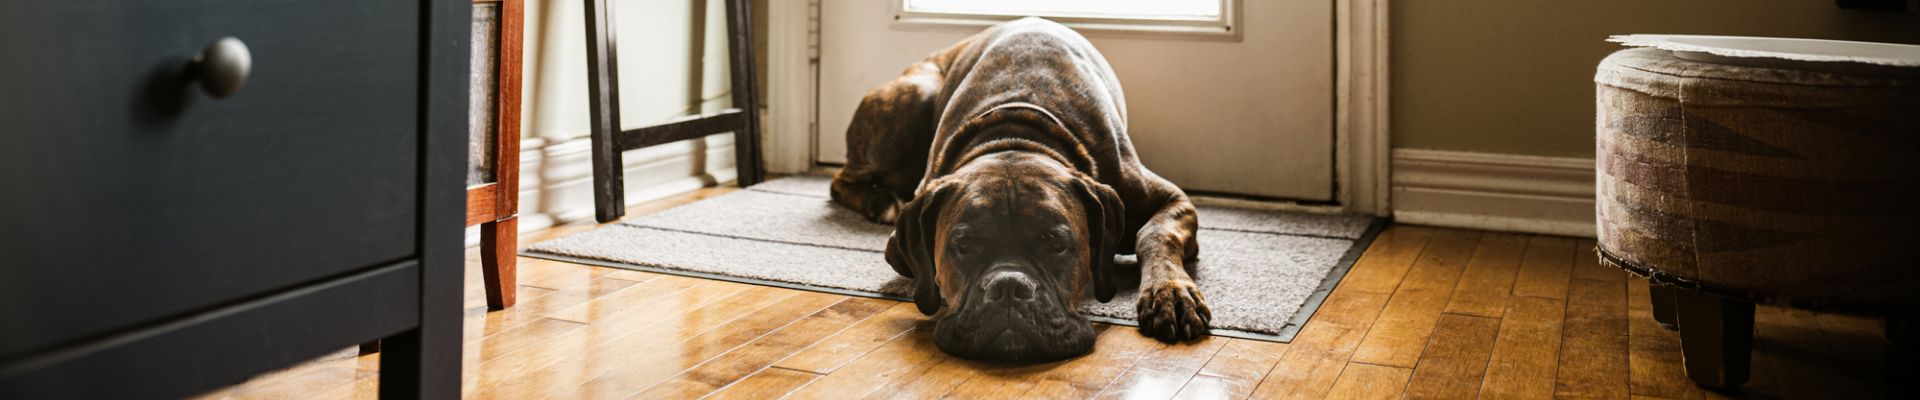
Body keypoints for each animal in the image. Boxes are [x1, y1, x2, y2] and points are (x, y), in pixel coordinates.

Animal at [829, 18, 1213, 361]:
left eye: (1056, 244)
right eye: (964, 246)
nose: (1009, 286)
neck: (1016, 134)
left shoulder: (1170, 199)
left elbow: (1156, 235)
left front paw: (1170, 293)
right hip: (914, 98)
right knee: (839, 181)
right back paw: (880, 201)